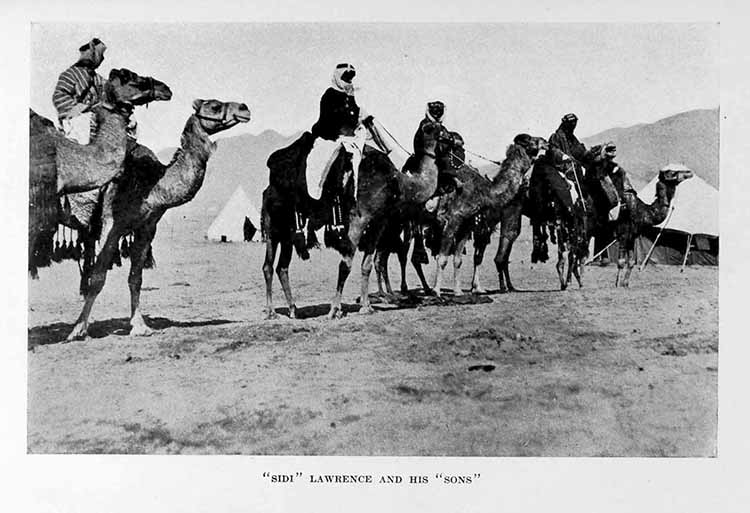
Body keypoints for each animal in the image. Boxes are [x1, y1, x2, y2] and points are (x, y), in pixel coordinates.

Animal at [65, 99, 253, 340]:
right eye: (214, 106)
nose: (244, 108)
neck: (151, 184)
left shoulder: (146, 227)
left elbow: (136, 278)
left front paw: (140, 326)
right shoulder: (111, 225)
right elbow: (97, 277)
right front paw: (78, 328)